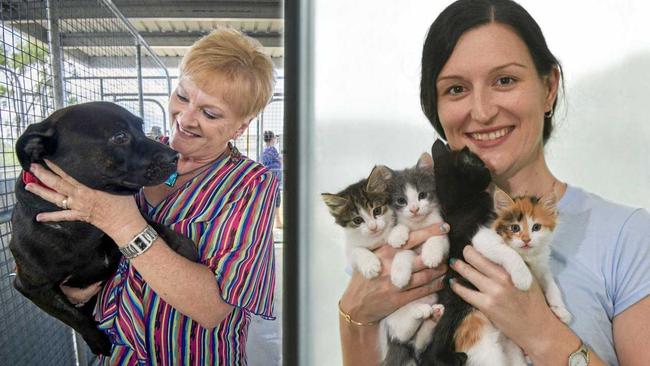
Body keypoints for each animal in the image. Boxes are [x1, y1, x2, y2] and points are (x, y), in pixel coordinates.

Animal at [9, 101, 197, 356]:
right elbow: (74, 317)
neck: (83, 226)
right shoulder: (32, 286)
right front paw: (98, 341)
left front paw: (184, 245)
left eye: (141, 127)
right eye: (120, 136)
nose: (175, 156)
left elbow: (148, 223)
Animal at [494, 189, 568, 324]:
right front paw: (523, 279)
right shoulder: (483, 238)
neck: (529, 255)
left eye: (536, 227)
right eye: (515, 228)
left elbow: (550, 282)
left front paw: (560, 308)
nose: (526, 240)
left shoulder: (541, 265)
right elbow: (510, 252)